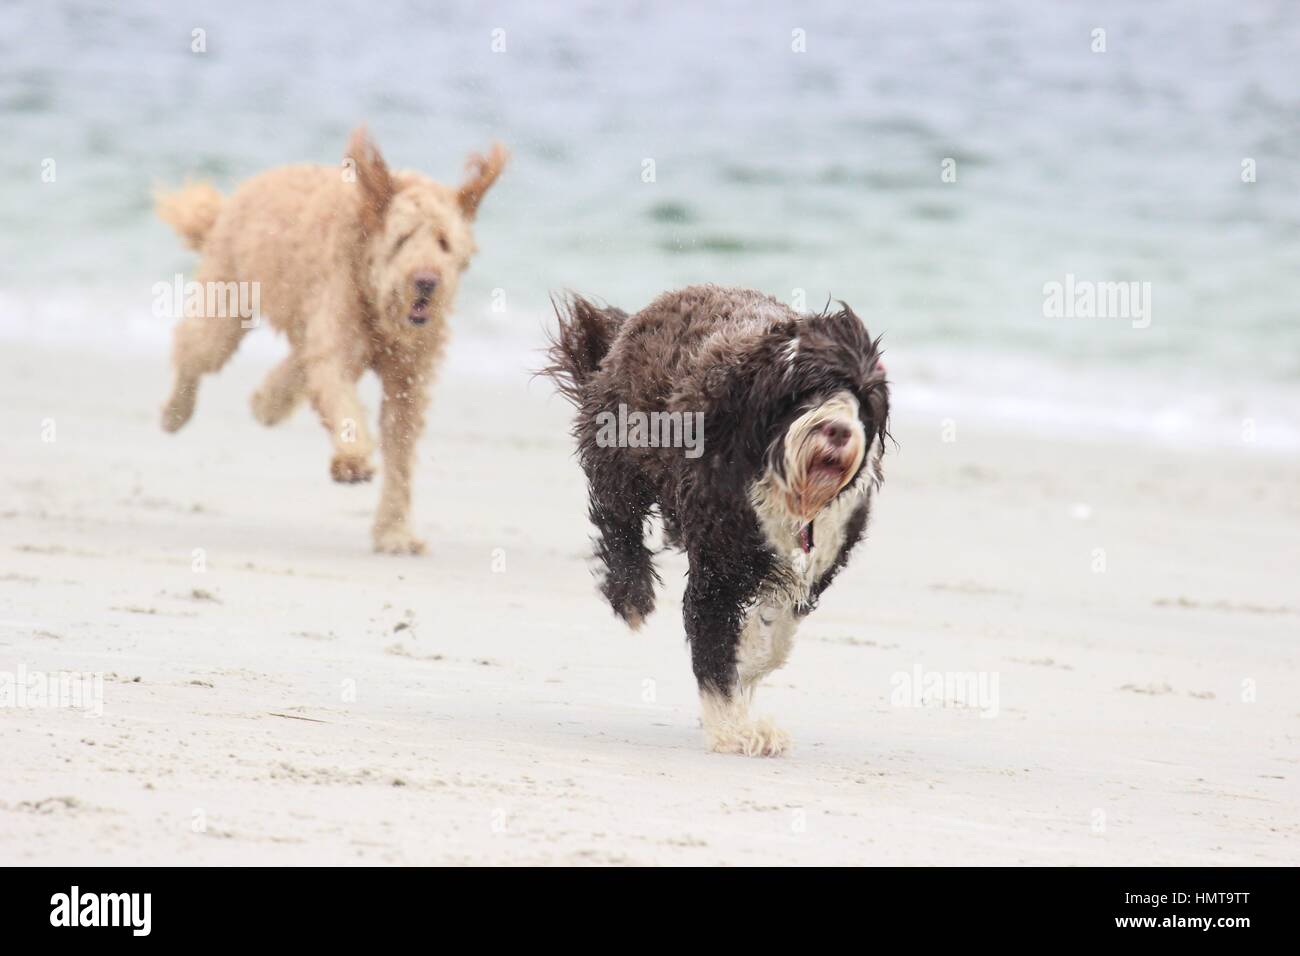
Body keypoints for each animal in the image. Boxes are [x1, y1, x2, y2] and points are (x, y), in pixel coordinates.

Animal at [154, 130, 504, 556]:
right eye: (402, 239)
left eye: (444, 242)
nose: (426, 281)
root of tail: (236, 196)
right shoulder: (337, 347)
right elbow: (341, 402)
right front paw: (352, 461)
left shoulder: (408, 381)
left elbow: (400, 454)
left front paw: (395, 532)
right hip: (224, 310)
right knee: (192, 350)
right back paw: (176, 411)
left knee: (294, 366)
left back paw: (267, 402)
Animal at [543, 283, 889, 754]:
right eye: (808, 389)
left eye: (863, 399)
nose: (838, 430)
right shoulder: (717, 572)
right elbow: (714, 647)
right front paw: (734, 729)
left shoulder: (817, 560)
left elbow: (774, 634)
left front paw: (750, 663)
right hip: (621, 455)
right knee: (618, 522)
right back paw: (631, 593)